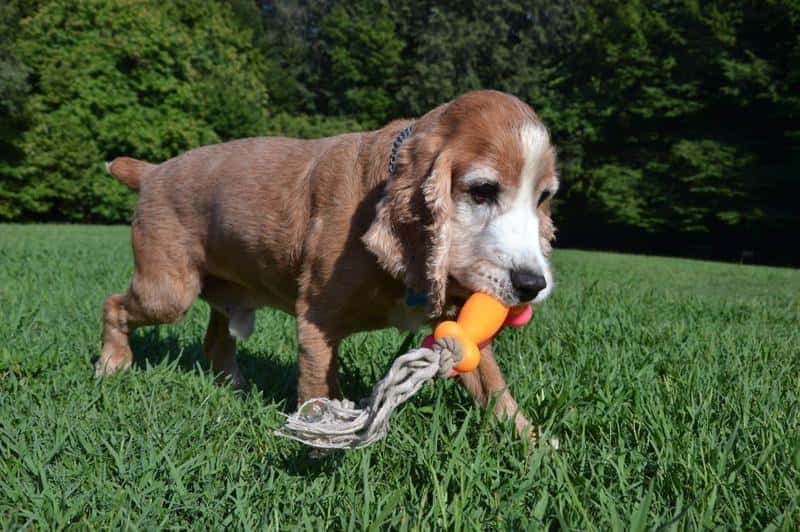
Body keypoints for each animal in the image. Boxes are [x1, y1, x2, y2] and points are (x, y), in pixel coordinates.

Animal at [96, 90, 559, 441]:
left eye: (543, 197)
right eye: (481, 191)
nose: (533, 285)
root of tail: (152, 171)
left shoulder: (460, 328)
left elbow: (493, 386)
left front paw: (535, 449)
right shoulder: (317, 320)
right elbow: (318, 389)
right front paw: (318, 446)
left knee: (216, 340)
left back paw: (234, 383)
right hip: (167, 292)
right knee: (115, 305)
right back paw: (111, 365)